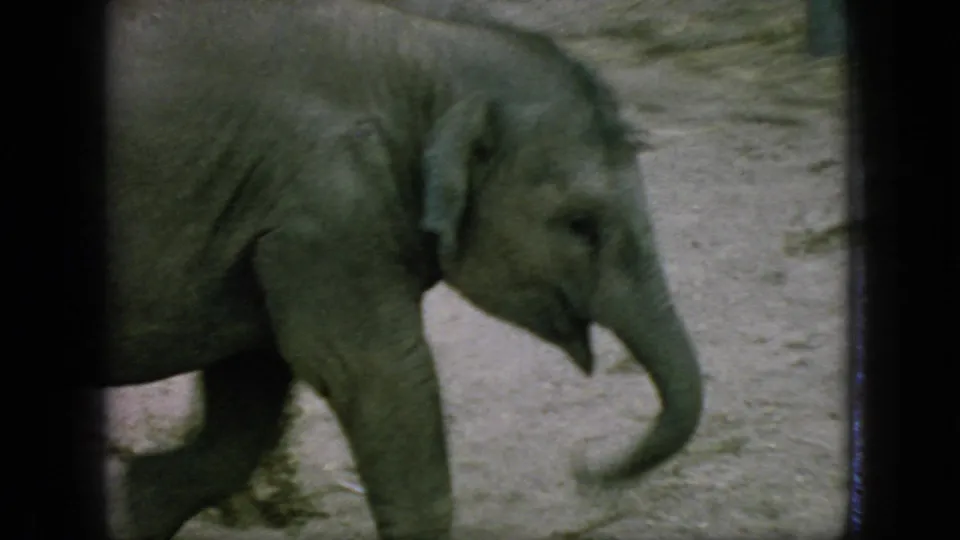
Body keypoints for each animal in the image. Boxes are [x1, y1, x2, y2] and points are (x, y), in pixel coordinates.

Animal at [102, 0, 704, 539]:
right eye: (582, 224)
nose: (584, 470)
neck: (425, 54)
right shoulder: (329, 212)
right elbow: (374, 372)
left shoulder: (264, 224)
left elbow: (251, 382)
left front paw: (135, 505)